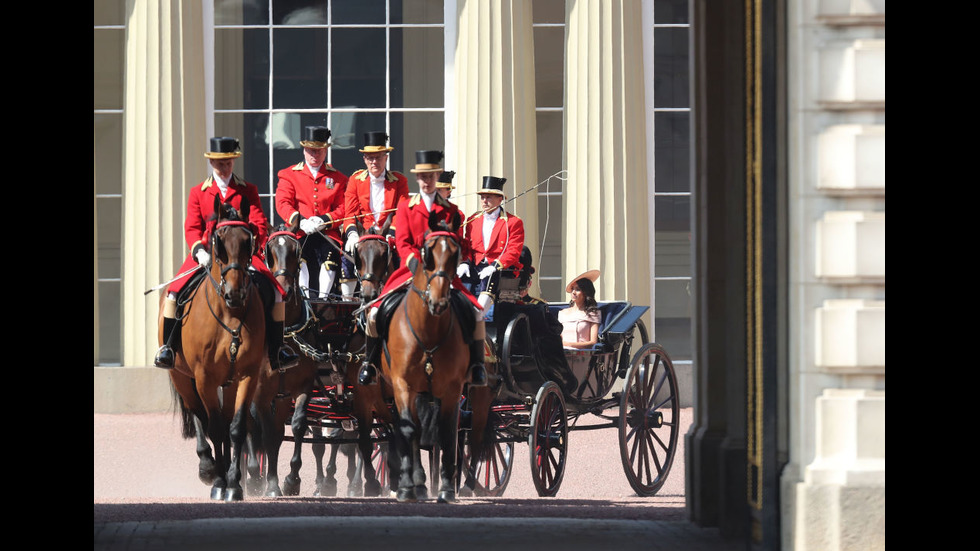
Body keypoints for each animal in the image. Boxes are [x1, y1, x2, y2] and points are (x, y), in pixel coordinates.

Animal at [166, 196, 268, 502]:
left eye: (248, 240)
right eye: (217, 241)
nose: (235, 293)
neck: (229, 313)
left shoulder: (247, 375)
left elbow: (235, 427)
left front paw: (233, 484)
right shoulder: (204, 378)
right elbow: (214, 427)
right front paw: (219, 480)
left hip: (229, 381)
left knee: (223, 421)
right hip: (182, 377)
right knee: (200, 417)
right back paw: (208, 468)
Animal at [378, 212, 470, 504]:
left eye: (455, 253)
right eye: (426, 253)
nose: (438, 302)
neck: (428, 332)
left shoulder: (452, 389)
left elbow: (447, 433)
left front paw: (446, 489)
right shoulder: (402, 385)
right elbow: (409, 430)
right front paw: (406, 487)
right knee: (412, 430)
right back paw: (415, 483)